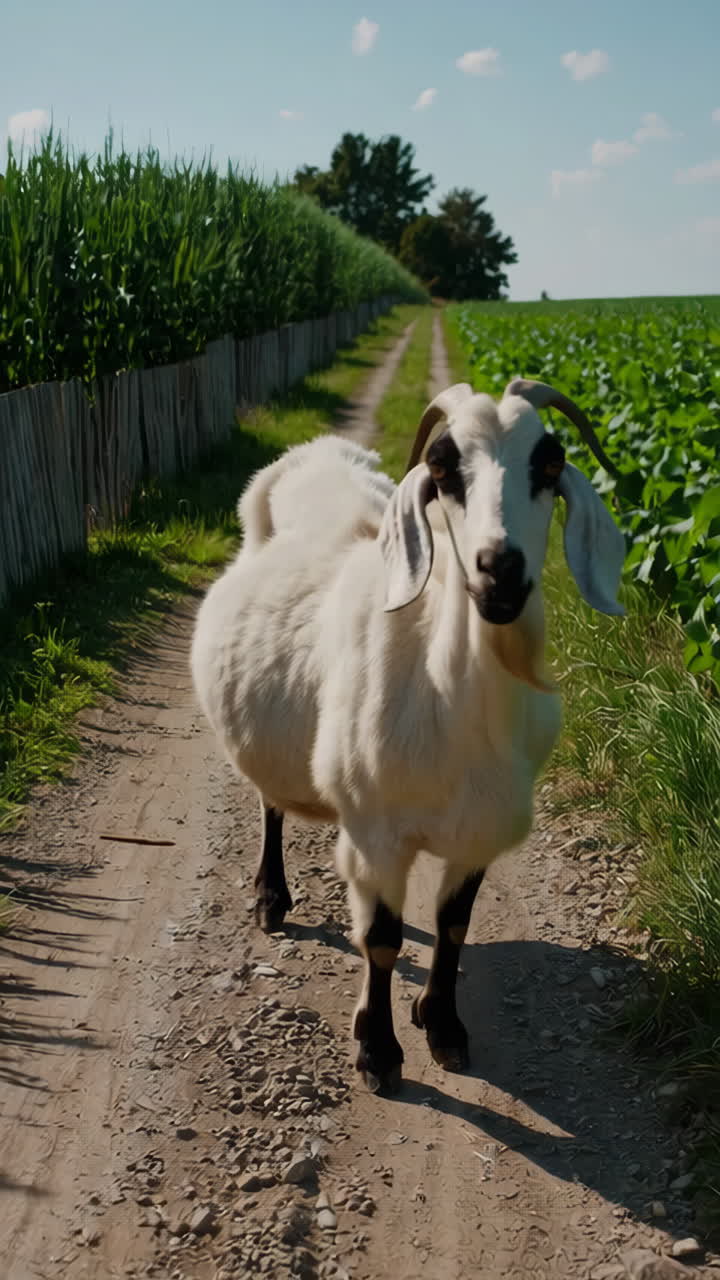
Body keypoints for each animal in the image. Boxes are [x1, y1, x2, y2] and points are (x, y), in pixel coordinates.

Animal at [190, 379, 625, 1094]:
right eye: (443, 467)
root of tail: (318, 455)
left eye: (550, 461)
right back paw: (271, 898)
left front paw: (442, 1024)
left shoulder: (479, 831)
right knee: (271, 806)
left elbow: (452, 926)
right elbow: (382, 939)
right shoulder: (377, 833)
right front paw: (379, 1051)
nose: (499, 570)